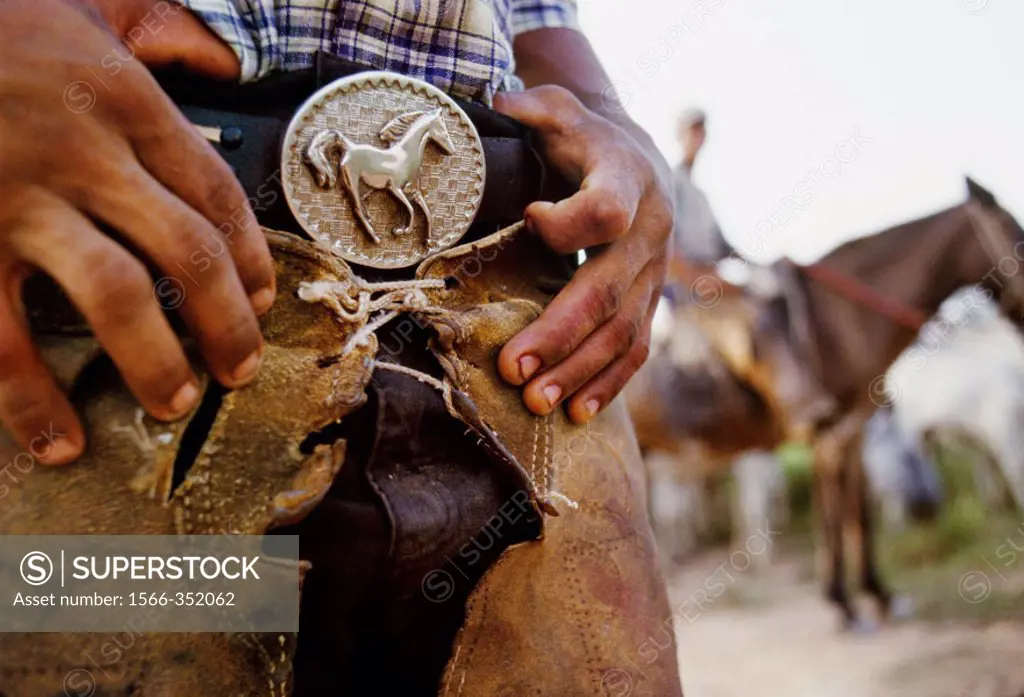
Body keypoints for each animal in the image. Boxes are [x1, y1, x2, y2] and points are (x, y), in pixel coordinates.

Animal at [303, 105, 456, 241]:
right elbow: (411, 208)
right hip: (352, 183)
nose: (452, 151)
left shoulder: (415, 191)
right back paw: (375, 238)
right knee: (357, 209)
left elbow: (426, 211)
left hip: (364, 188)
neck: (406, 155)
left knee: (361, 206)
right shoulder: (394, 189)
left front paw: (428, 239)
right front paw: (402, 230)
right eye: (444, 132)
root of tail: (349, 147)